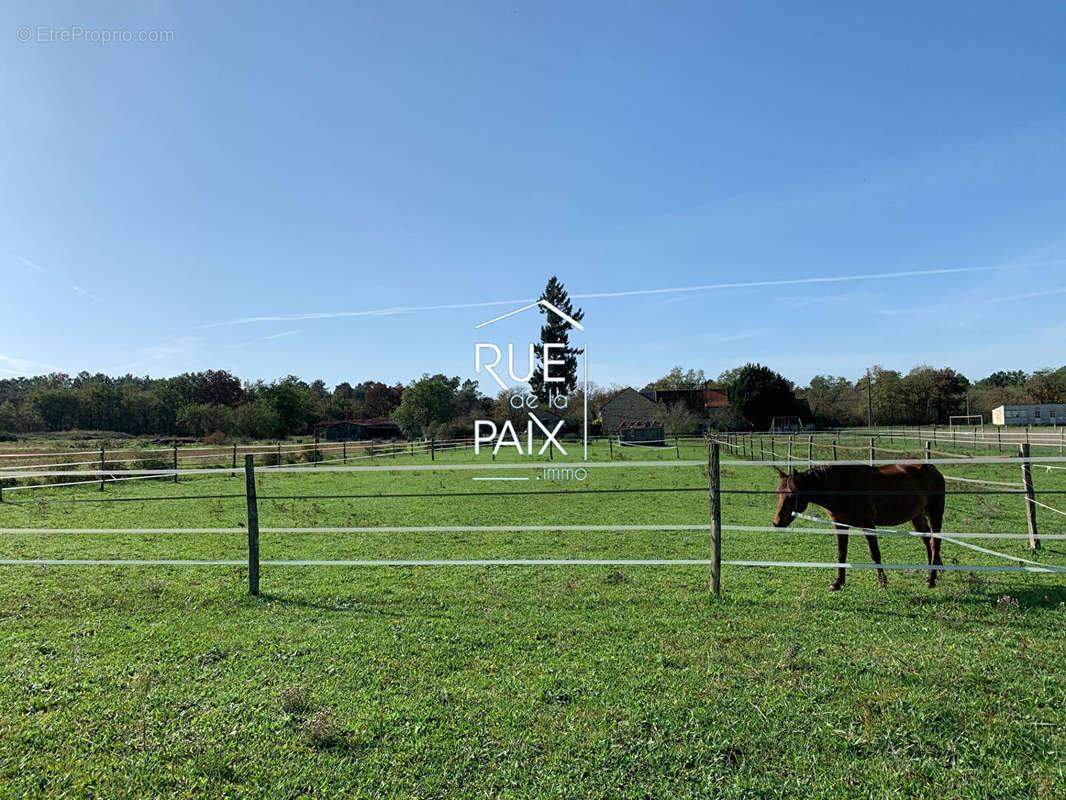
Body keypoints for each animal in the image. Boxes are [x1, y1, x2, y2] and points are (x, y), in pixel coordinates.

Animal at [771, 467, 946, 593]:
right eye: (778, 493)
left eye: (792, 496)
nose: (777, 522)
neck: (842, 486)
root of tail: (934, 470)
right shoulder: (840, 525)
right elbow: (841, 553)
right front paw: (838, 583)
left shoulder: (868, 524)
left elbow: (875, 553)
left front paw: (882, 583)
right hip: (916, 516)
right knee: (927, 541)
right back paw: (932, 575)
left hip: (935, 512)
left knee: (934, 542)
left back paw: (931, 580)